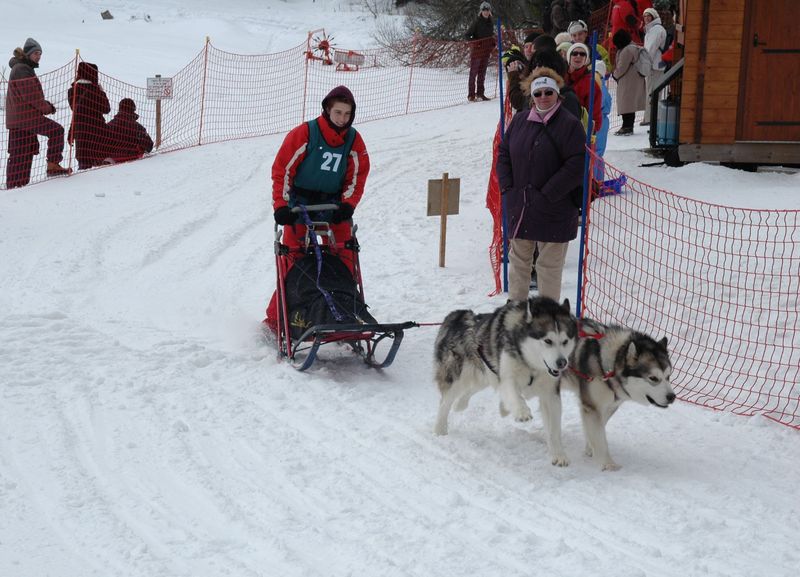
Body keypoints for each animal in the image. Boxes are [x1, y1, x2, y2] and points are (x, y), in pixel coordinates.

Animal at [434, 296, 580, 464]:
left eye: (565, 341)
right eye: (548, 341)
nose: (562, 362)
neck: (531, 366)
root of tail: (458, 315)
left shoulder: (551, 393)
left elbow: (554, 429)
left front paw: (558, 454)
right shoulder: (507, 376)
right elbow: (514, 394)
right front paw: (522, 412)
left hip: (483, 374)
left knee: (470, 390)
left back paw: (461, 404)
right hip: (459, 377)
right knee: (444, 403)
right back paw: (439, 429)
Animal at [564, 320, 676, 468]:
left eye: (668, 376)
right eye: (653, 378)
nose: (672, 397)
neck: (608, 365)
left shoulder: (610, 406)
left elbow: (595, 430)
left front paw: (590, 448)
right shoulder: (592, 406)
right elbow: (600, 437)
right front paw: (608, 464)